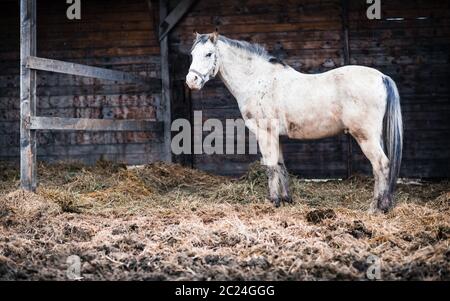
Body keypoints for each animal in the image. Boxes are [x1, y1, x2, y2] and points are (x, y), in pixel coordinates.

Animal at [185, 31, 402, 212]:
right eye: (192, 54)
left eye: (209, 54)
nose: (191, 81)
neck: (257, 80)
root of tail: (382, 77)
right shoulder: (276, 136)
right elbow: (281, 165)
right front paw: (286, 199)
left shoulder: (265, 133)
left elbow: (271, 166)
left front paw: (274, 201)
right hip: (375, 136)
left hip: (365, 137)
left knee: (381, 165)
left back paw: (376, 207)